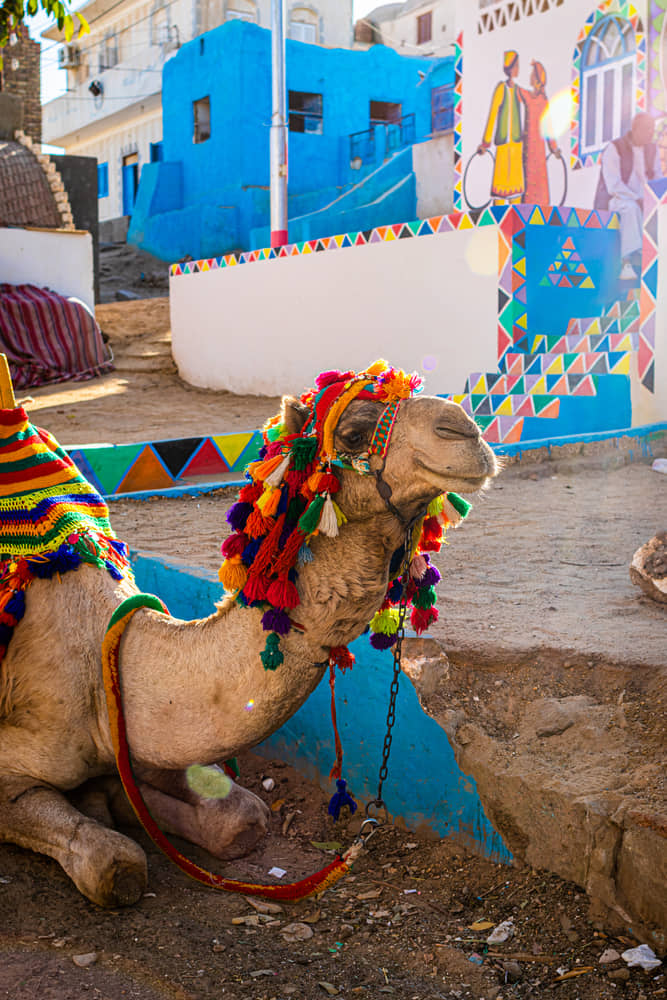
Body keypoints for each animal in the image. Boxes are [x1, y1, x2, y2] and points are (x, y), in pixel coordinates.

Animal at [0, 376, 496, 908]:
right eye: (354, 434)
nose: (466, 430)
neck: (102, 660)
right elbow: (115, 864)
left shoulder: (138, 737)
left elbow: (243, 818)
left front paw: (114, 798)